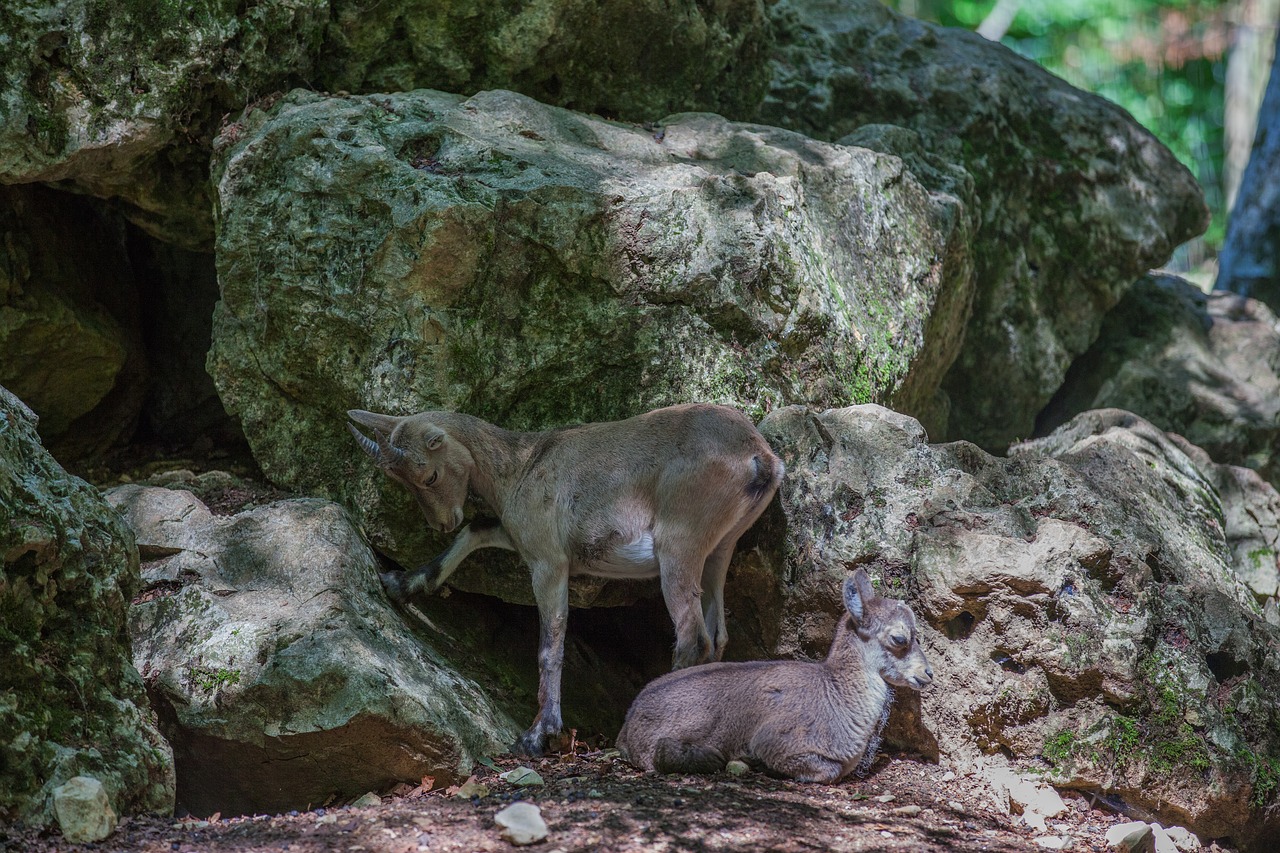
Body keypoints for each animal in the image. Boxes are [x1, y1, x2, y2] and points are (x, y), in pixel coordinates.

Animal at [348, 404, 778, 753]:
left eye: (429, 476)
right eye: (402, 481)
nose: (441, 524)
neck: (521, 466)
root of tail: (761, 457)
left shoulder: (548, 561)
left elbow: (550, 645)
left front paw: (538, 735)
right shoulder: (522, 535)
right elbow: (476, 529)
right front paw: (400, 584)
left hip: (679, 542)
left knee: (693, 636)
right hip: (721, 547)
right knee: (717, 634)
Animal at [611, 568, 931, 778]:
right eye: (899, 638)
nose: (927, 673)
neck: (836, 696)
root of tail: (628, 722)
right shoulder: (777, 741)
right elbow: (827, 771)